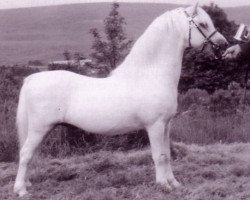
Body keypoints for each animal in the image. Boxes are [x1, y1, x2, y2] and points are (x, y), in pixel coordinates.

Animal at [14, 4, 228, 197]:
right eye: (203, 24)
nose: (224, 44)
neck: (150, 75)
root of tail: (32, 78)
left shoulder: (167, 125)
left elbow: (167, 155)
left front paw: (174, 183)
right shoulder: (155, 126)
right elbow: (158, 156)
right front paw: (163, 185)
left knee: (29, 155)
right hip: (39, 129)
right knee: (25, 154)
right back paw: (21, 190)